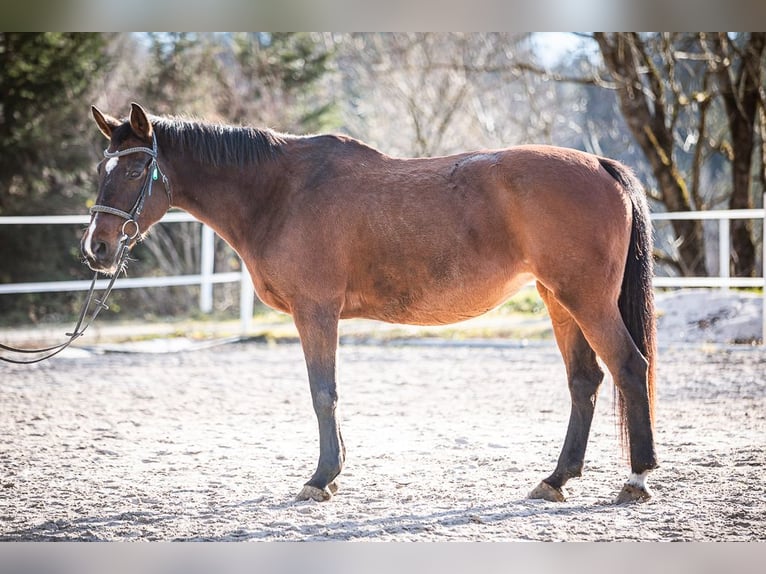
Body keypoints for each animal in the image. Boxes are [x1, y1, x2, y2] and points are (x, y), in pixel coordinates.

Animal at [84, 102, 660, 504]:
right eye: (100, 170)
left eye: (134, 171)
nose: (97, 248)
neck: (281, 192)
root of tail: (601, 165)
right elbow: (328, 394)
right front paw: (332, 473)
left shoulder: (315, 311)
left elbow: (323, 393)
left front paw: (320, 479)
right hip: (559, 301)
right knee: (585, 381)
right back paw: (556, 479)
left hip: (586, 301)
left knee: (630, 367)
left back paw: (636, 479)